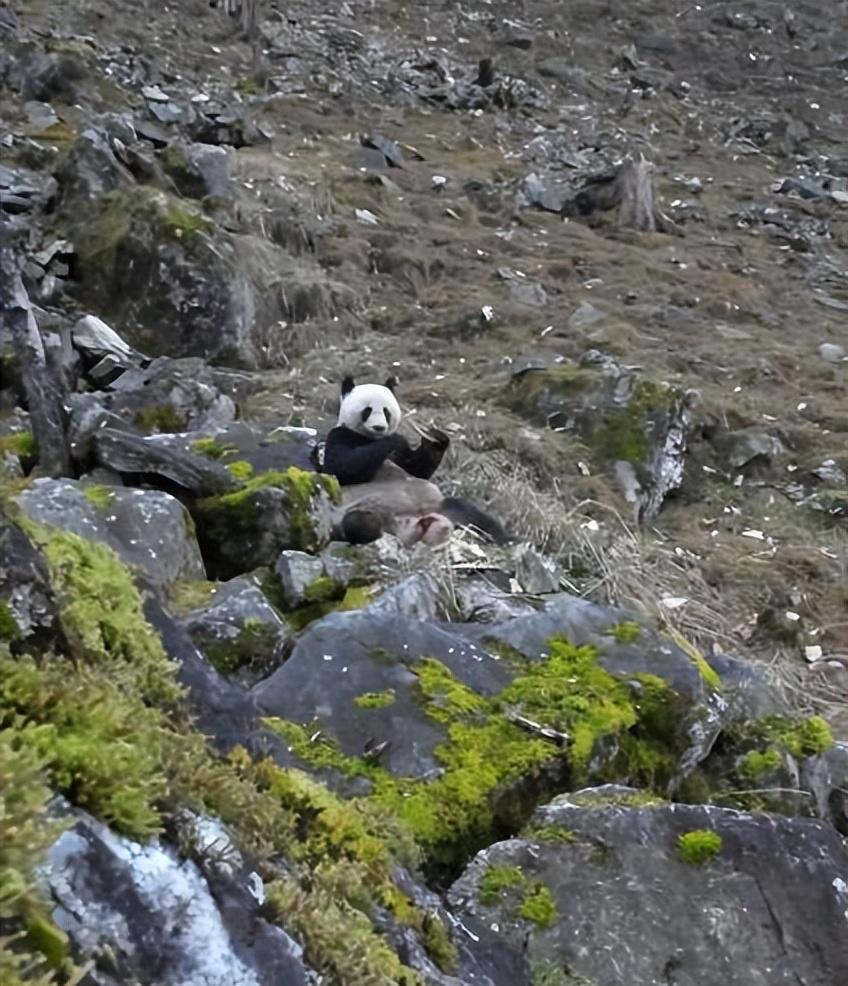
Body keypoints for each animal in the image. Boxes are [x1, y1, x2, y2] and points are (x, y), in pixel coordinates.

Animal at [322, 374, 510, 544]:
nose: (379, 427)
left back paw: (506, 538)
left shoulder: (402, 457)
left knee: (470, 512)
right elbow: (341, 469)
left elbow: (418, 469)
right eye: (367, 410)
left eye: (386, 411)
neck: (370, 438)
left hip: (441, 505)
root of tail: (413, 521)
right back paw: (373, 526)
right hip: (350, 513)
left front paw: (434, 439)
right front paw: (394, 439)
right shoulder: (340, 436)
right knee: (356, 522)